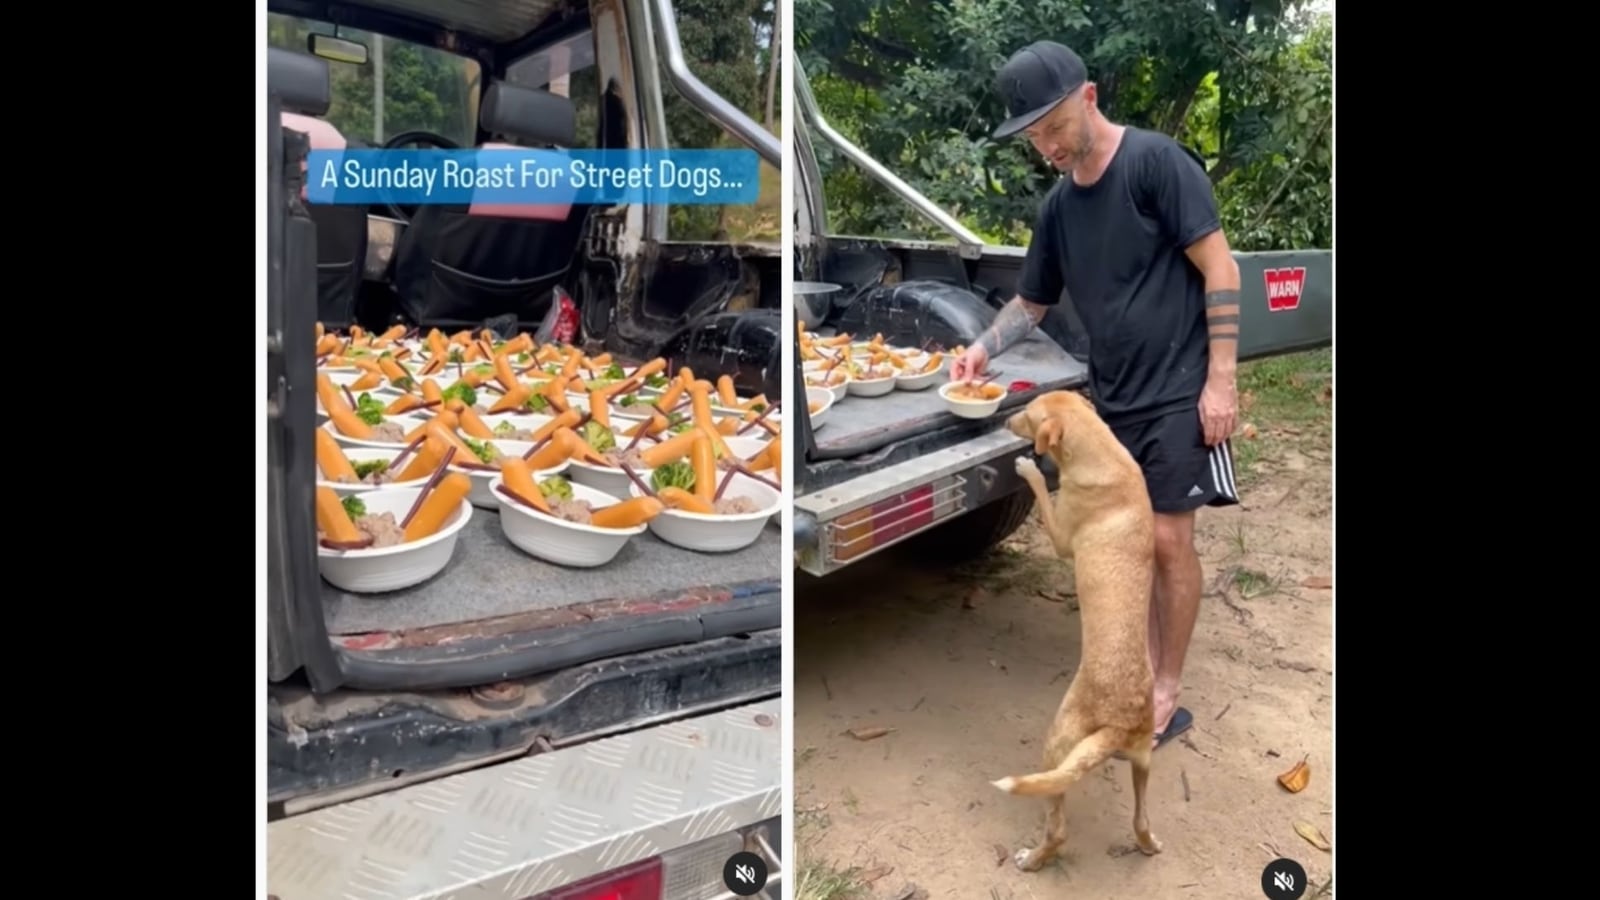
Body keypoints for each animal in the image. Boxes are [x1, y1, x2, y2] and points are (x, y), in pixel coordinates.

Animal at [985, 390, 1164, 871]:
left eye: (1027, 416)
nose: (1004, 421)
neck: (1102, 456)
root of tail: (1122, 722)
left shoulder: (1061, 536)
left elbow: (1042, 492)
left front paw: (1029, 468)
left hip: (1058, 741)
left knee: (1058, 825)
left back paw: (1033, 858)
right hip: (1142, 761)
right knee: (1141, 820)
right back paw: (1148, 845)